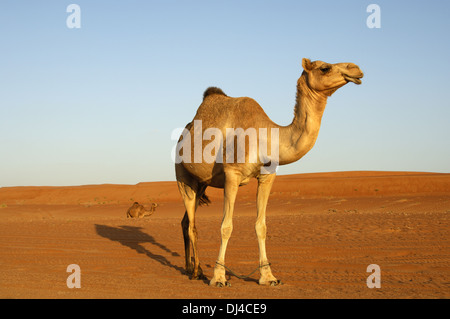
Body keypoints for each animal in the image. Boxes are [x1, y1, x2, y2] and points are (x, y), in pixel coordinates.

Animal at [174, 57, 364, 288]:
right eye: (324, 68)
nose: (356, 69)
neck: (266, 136)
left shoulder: (267, 176)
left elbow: (261, 226)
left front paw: (268, 276)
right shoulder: (232, 174)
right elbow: (226, 226)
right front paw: (219, 277)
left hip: (201, 183)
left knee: (186, 221)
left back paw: (191, 268)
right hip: (182, 175)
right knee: (192, 224)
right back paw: (197, 272)